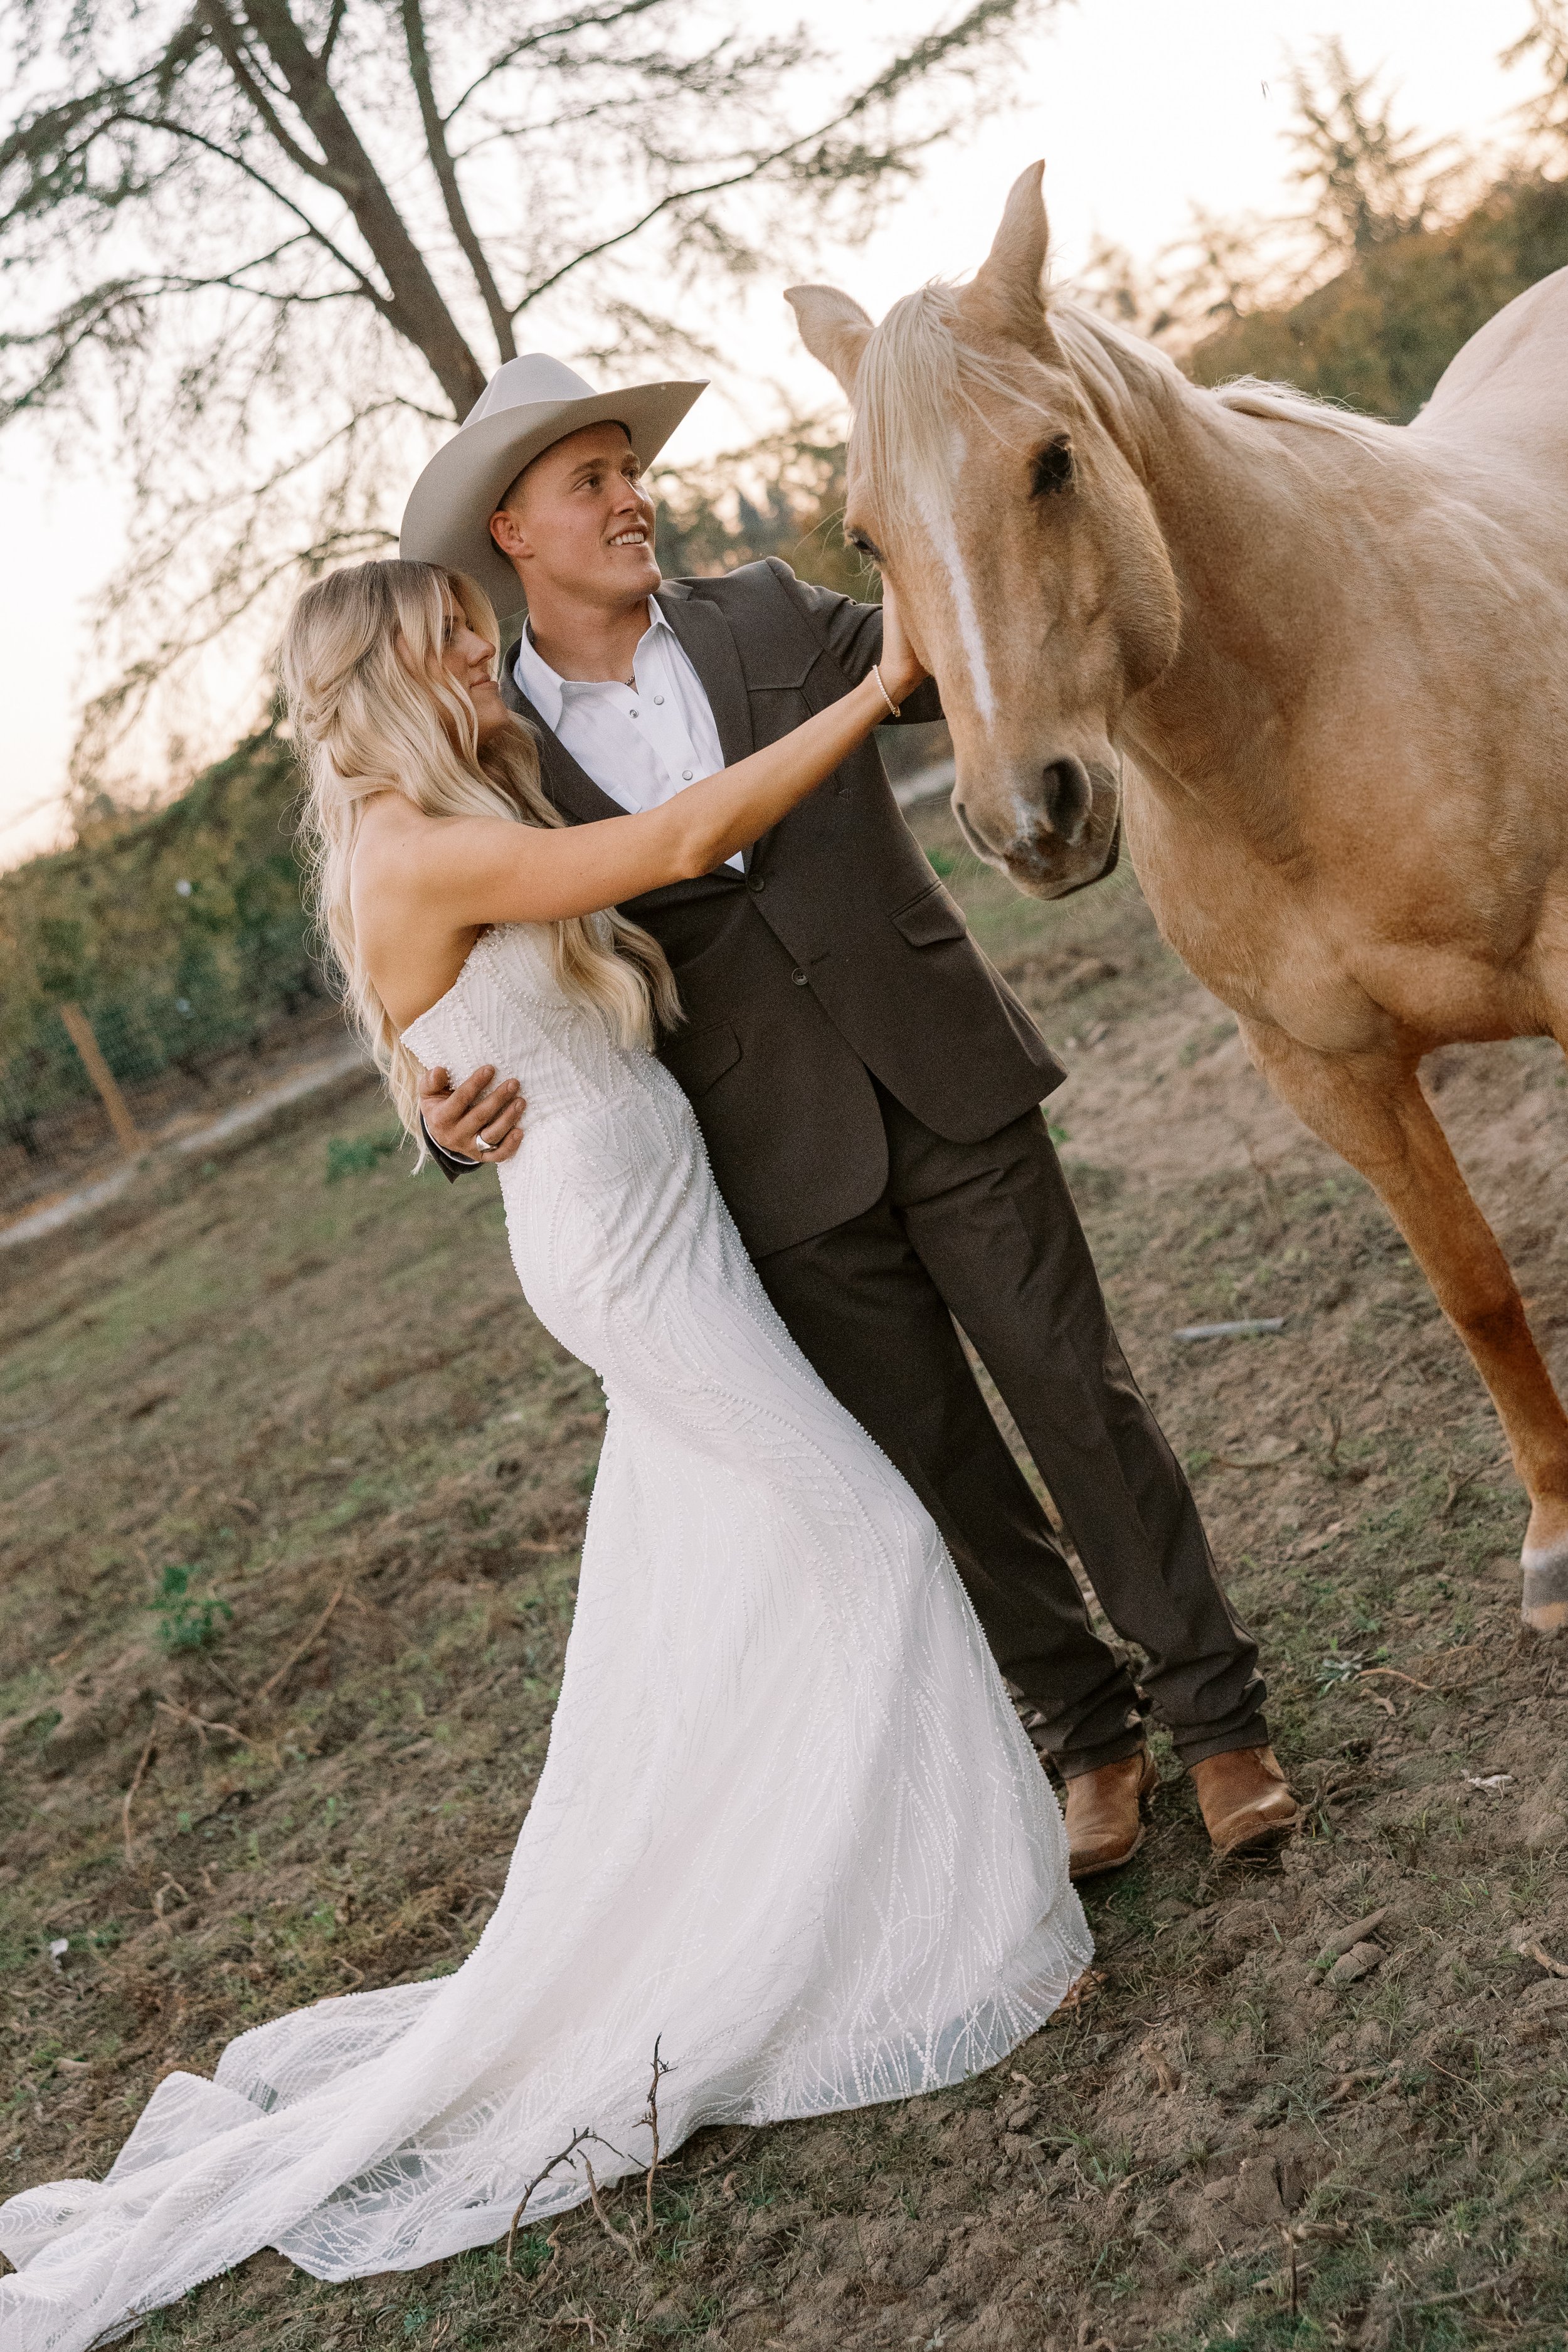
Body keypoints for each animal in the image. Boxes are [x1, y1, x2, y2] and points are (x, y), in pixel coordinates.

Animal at [787, 161, 1568, 1635]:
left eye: (1051, 463)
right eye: (865, 536)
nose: (1027, 816)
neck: (1308, 714)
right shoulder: (1326, 1074)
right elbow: (1476, 1291)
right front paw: (1554, 1539)